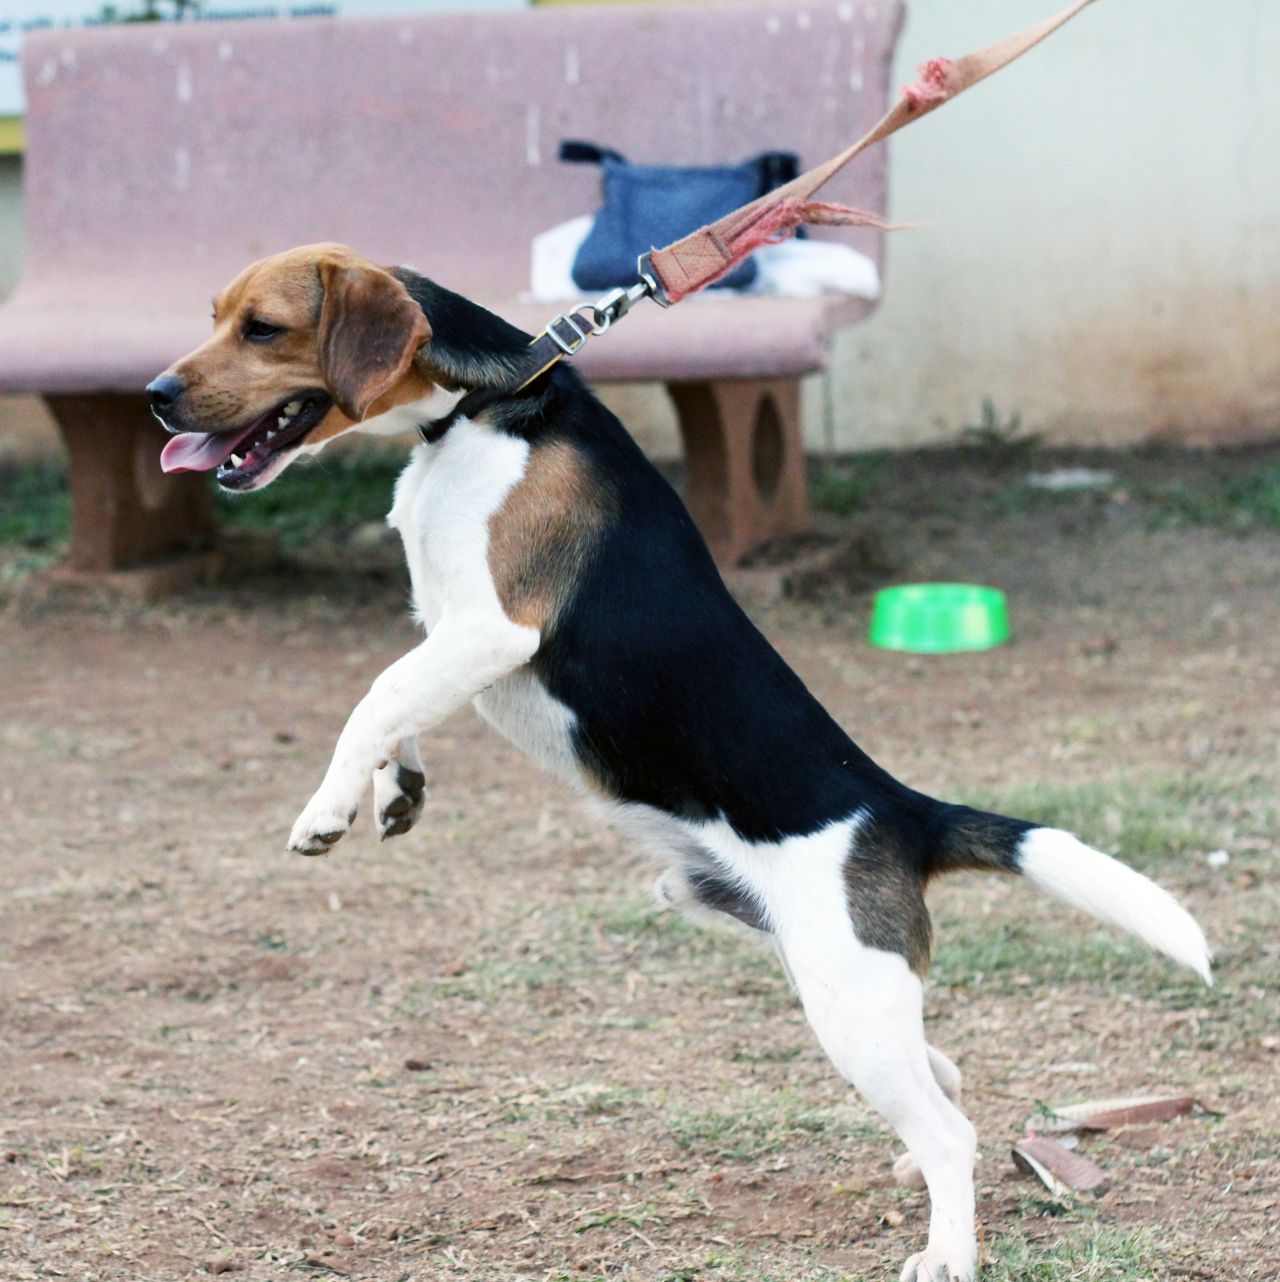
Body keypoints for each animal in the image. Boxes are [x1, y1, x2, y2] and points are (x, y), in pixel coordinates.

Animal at [150, 242, 1210, 1282]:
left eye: (263, 329)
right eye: (216, 317)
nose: (157, 394)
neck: (478, 413)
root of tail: (901, 809)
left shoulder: (492, 630)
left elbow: (373, 695)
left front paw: (326, 810)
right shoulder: (443, 625)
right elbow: (394, 702)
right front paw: (393, 790)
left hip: (847, 1001)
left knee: (951, 1132)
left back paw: (946, 1251)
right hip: (809, 968)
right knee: (943, 1081)